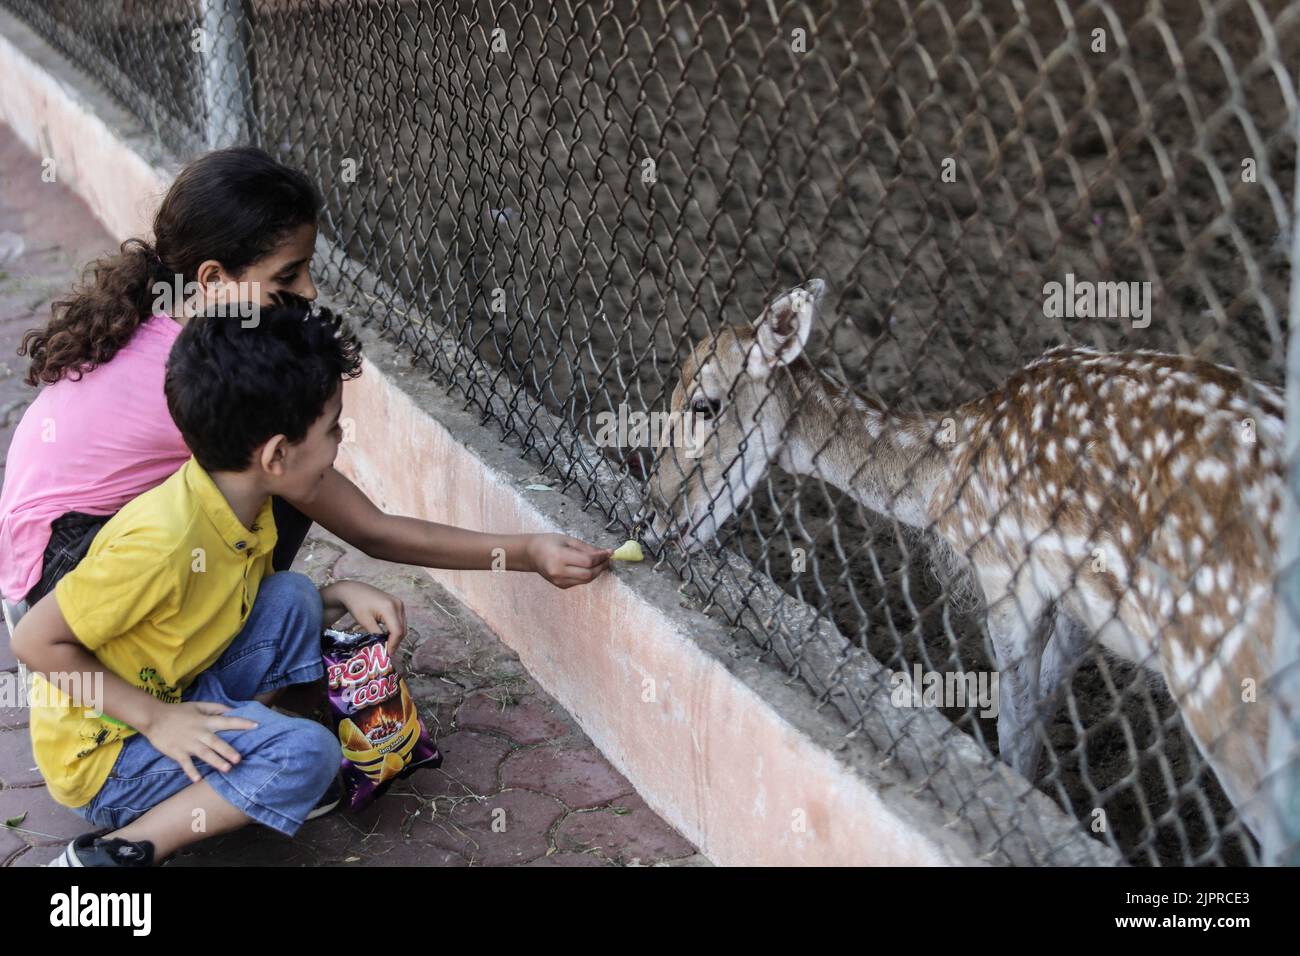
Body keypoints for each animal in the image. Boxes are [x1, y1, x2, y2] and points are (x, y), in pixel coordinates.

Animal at [637, 278, 1279, 842]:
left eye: (704, 404)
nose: (651, 519)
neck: (942, 485)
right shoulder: (1081, 609)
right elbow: (1045, 707)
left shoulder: (1006, 574)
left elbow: (1015, 730)